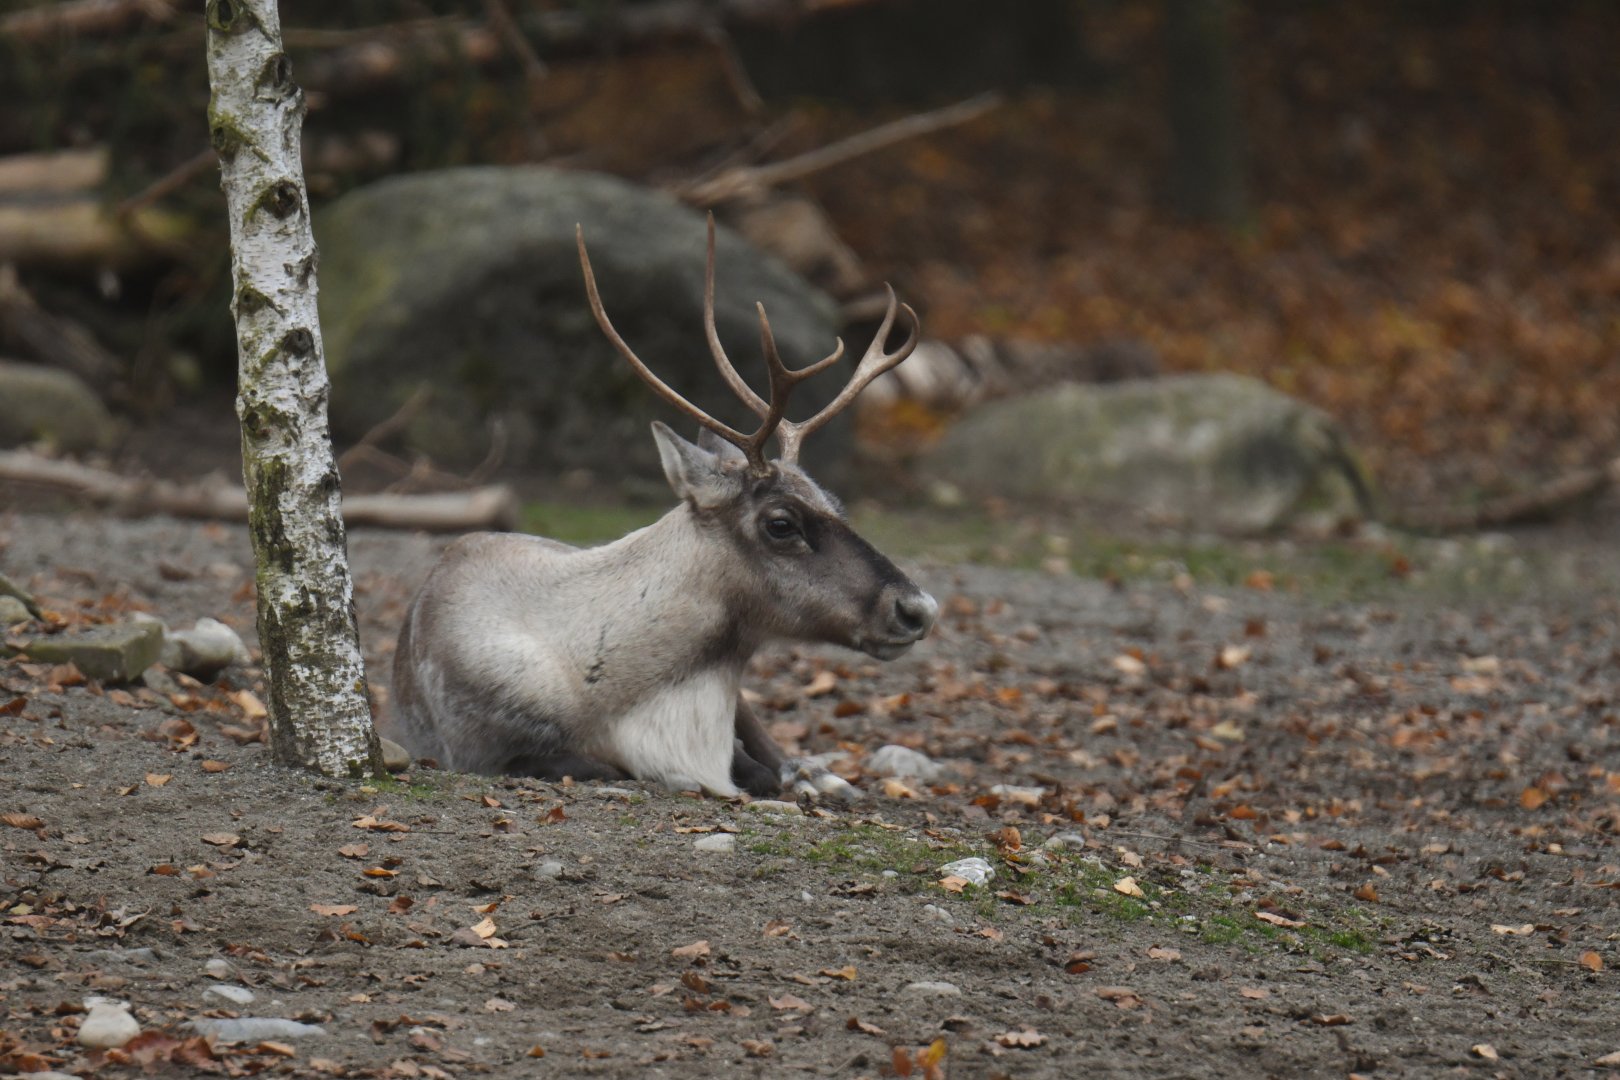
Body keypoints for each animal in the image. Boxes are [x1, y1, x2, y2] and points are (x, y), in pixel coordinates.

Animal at [388, 217, 938, 799]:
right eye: (781, 523)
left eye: (833, 501)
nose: (918, 608)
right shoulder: (489, 751)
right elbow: (599, 765)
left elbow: (757, 765)